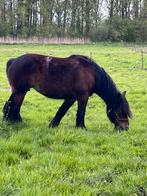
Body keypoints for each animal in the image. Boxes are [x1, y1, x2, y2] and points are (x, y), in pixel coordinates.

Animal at [2, 53, 131, 130]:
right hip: (19, 91)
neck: (92, 73)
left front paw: (53, 125)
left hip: (22, 91)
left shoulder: (71, 98)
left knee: (14, 106)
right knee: (10, 105)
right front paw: (81, 127)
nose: (125, 128)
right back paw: (9, 122)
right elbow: (81, 112)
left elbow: (62, 111)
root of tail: (13, 61)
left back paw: (17, 121)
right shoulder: (82, 97)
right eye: (120, 111)